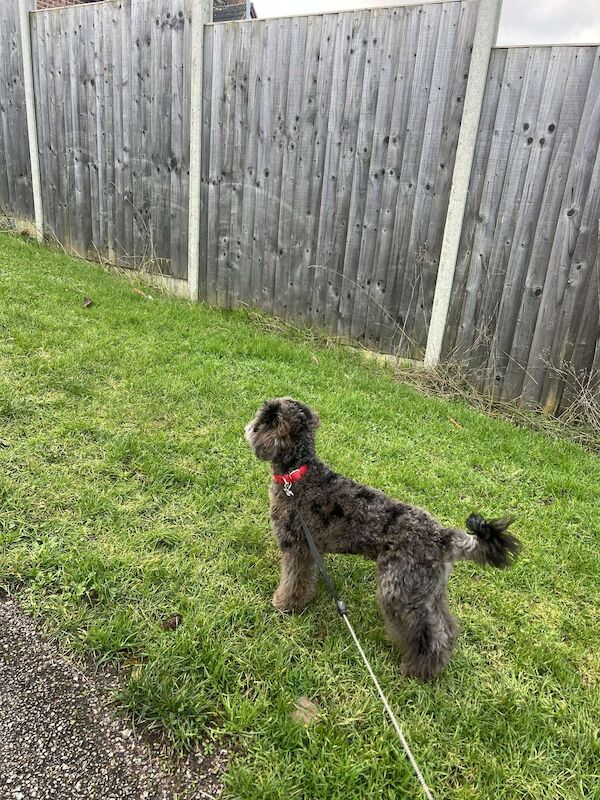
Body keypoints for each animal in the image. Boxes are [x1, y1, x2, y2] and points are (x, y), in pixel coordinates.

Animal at [244, 396, 520, 680]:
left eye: (265, 419)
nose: (249, 427)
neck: (297, 473)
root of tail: (443, 536)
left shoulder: (295, 546)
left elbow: (292, 580)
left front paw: (284, 605)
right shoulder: (309, 550)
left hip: (399, 591)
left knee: (428, 635)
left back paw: (419, 671)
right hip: (428, 591)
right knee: (446, 628)